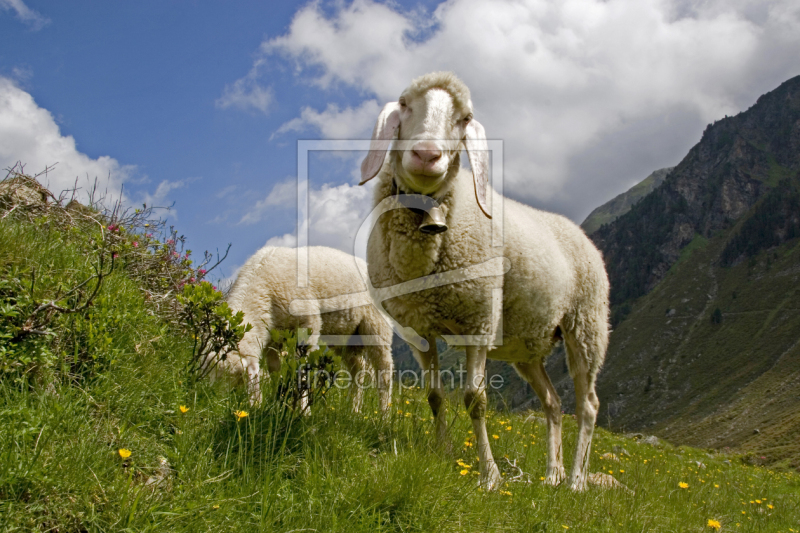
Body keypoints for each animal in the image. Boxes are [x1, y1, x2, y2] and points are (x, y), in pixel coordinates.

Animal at [206, 245, 394, 412]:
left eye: (234, 379)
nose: (214, 402)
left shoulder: (309, 323)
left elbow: (302, 369)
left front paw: (303, 411)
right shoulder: (271, 337)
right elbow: (274, 370)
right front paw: (277, 401)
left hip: (377, 324)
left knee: (384, 369)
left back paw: (383, 415)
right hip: (345, 335)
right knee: (358, 368)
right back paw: (353, 410)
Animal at [360, 71, 608, 490]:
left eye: (465, 118)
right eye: (405, 103)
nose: (426, 155)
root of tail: (580, 233)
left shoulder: (477, 319)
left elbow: (475, 400)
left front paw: (490, 475)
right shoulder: (418, 330)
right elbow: (434, 396)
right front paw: (443, 452)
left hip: (586, 324)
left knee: (588, 405)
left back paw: (576, 480)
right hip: (527, 345)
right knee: (553, 403)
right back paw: (552, 475)